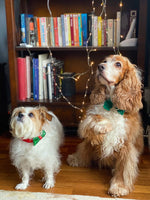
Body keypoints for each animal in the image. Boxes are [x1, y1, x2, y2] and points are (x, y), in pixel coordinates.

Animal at [67, 54, 144, 197]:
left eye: (118, 64)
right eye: (104, 61)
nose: (99, 66)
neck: (112, 103)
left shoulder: (126, 144)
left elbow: (123, 169)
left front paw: (119, 187)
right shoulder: (88, 118)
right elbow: (95, 118)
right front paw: (105, 126)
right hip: (88, 144)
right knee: (84, 149)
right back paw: (76, 159)